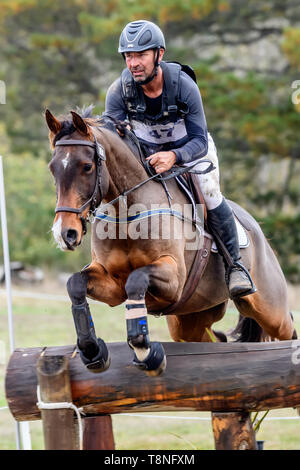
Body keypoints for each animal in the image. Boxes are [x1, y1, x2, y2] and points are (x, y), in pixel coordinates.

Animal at [45, 108, 296, 376]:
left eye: (87, 166)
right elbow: (75, 284)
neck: (127, 214)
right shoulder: (112, 285)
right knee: (214, 342)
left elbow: (136, 280)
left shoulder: (173, 277)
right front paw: (92, 350)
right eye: (52, 169)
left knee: (287, 330)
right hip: (190, 319)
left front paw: (145, 350)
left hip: (270, 310)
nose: (65, 233)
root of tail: (259, 231)